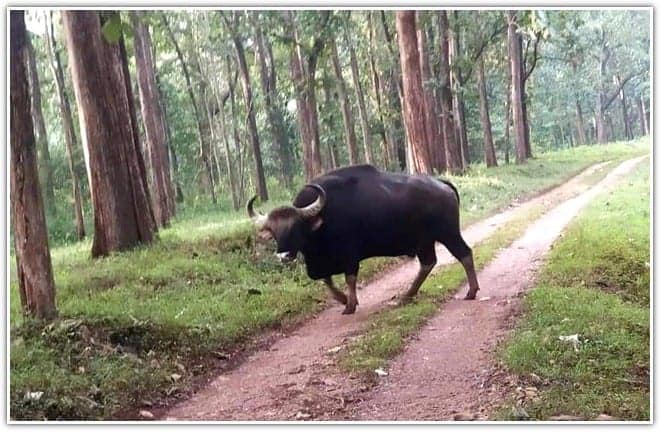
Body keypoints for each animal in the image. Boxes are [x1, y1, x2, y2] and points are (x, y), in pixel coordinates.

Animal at [247, 164, 479, 315]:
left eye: (295, 228)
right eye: (273, 232)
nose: (284, 255)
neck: (322, 219)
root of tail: (442, 184)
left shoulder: (349, 254)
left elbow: (349, 277)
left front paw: (350, 304)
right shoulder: (322, 262)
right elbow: (326, 280)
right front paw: (343, 299)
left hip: (448, 233)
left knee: (464, 254)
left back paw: (471, 291)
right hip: (425, 242)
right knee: (428, 263)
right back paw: (408, 295)